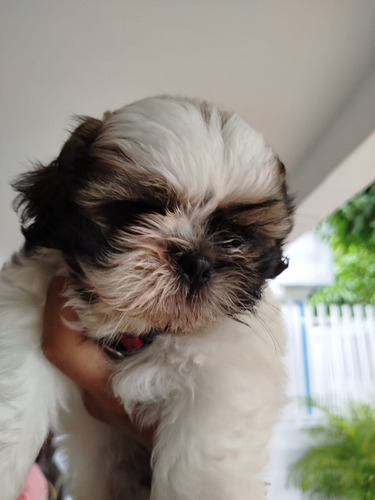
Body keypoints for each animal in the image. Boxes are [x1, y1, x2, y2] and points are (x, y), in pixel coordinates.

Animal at [0, 95, 294, 498]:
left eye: (236, 236)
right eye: (136, 212)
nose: (197, 262)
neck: (140, 328)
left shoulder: (228, 370)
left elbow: (201, 463)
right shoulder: (25, 310)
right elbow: (15, 399)